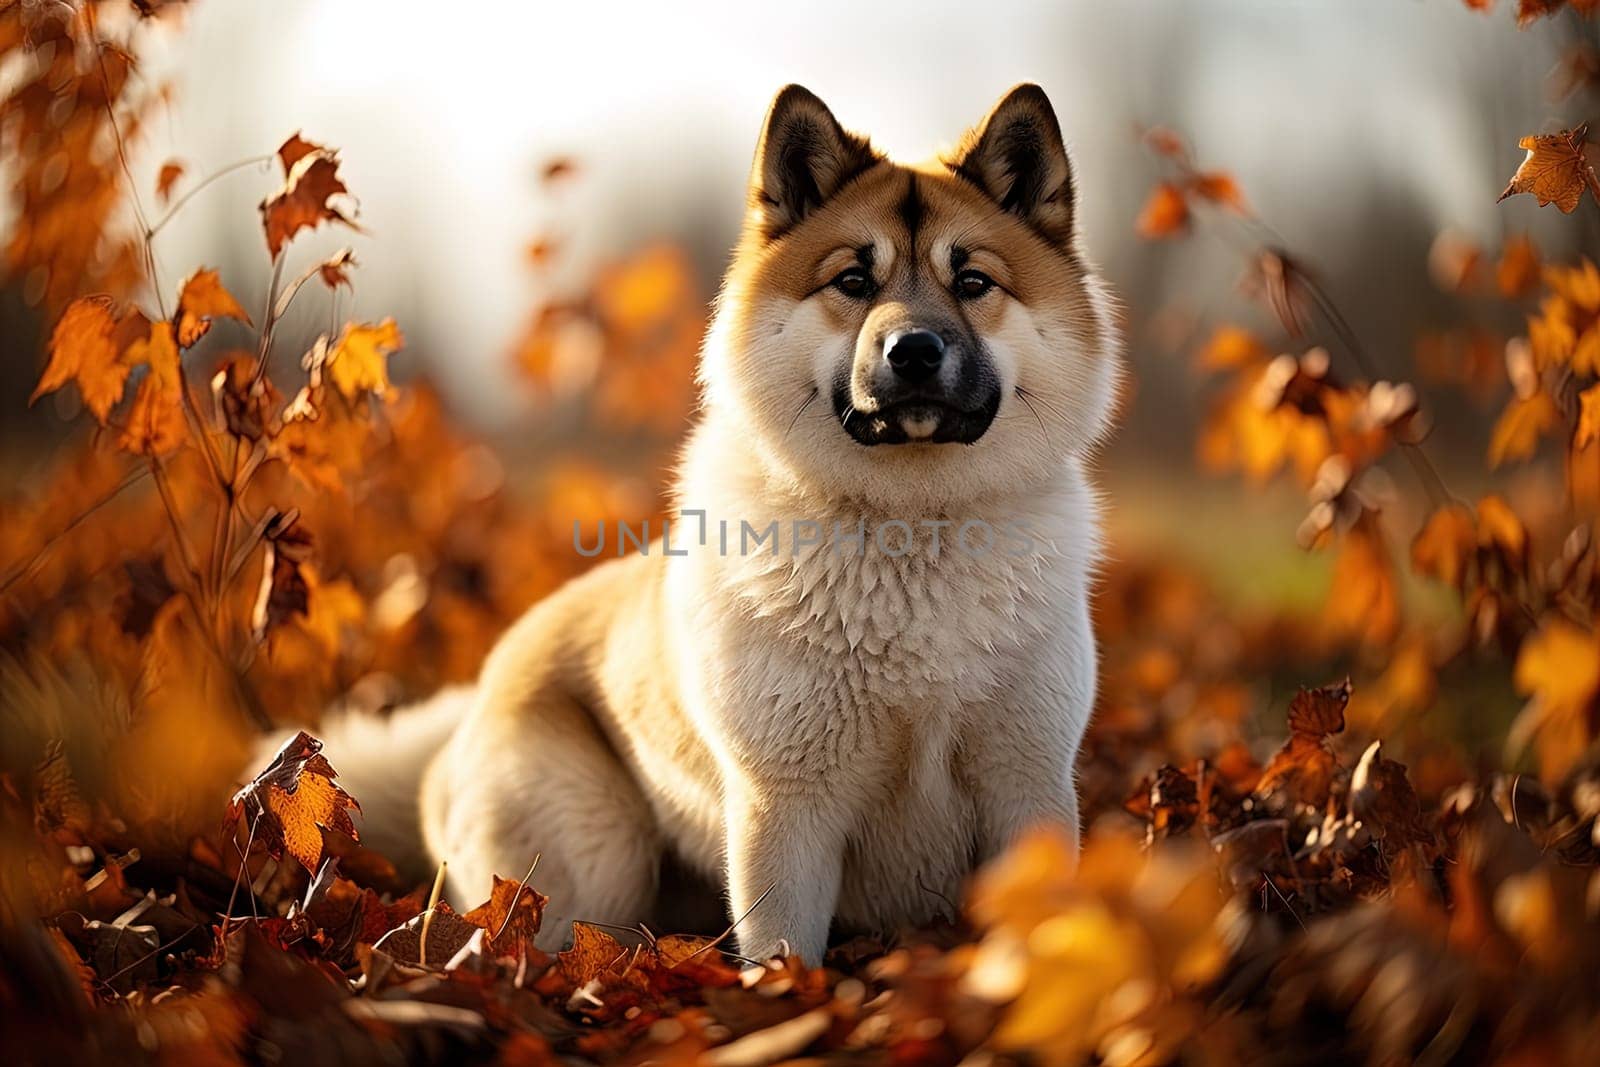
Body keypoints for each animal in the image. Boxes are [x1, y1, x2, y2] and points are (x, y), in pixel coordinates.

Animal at [326, 85, 1126, 966]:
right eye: (853, 279)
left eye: (974, 279)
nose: (913, 349)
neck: (911, 526)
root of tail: (463, 725)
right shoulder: (788, 809)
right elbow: (784, 950)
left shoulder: (1027, 785)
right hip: (598, 859)